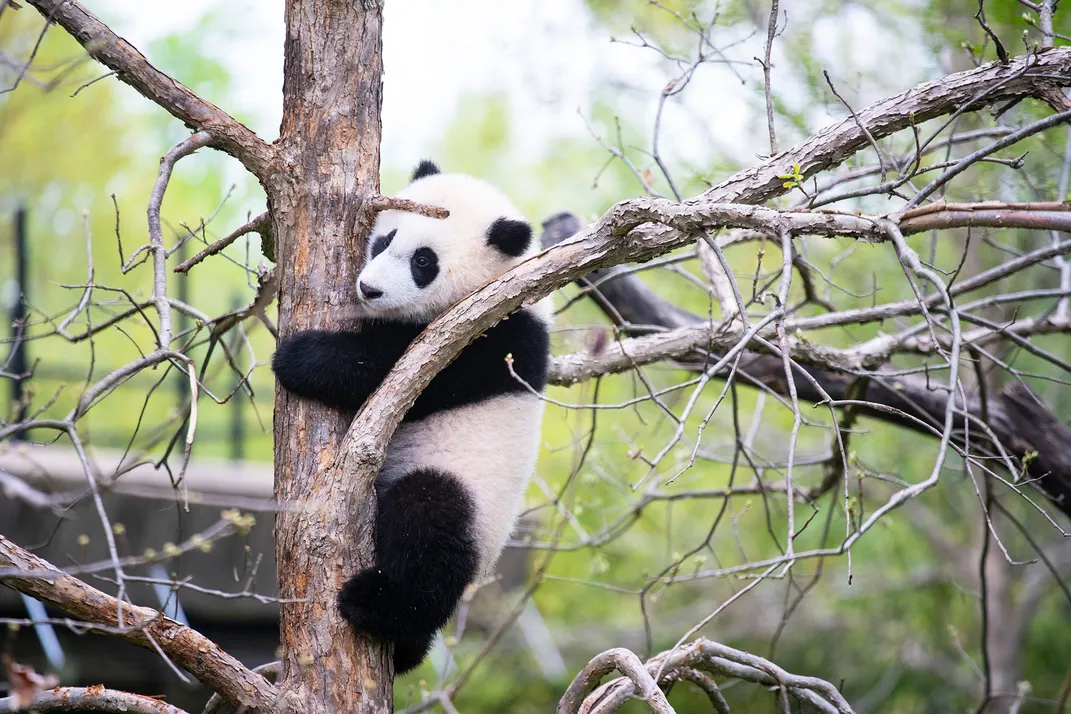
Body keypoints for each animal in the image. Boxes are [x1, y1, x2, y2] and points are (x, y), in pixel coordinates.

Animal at [272, 161, 552, 676]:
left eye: (424, 262)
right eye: (385, 240)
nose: (369, 289)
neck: (505, 281)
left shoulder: (491, 339)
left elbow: (390, 368)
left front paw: (300, 358)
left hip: (470, 497)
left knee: (429, 527)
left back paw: (380, 608)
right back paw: (405, 649)